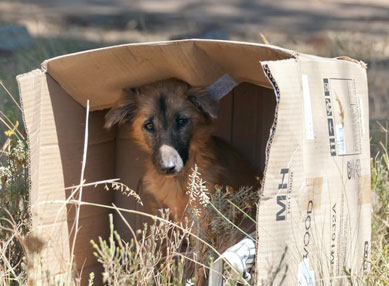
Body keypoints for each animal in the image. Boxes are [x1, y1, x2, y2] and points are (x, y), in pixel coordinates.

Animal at [106, 79, 258, 222]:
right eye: (149, 125)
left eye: (181, 121)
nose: (168, 168)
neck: (176, 181)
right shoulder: (160, 210)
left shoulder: (201, 213)